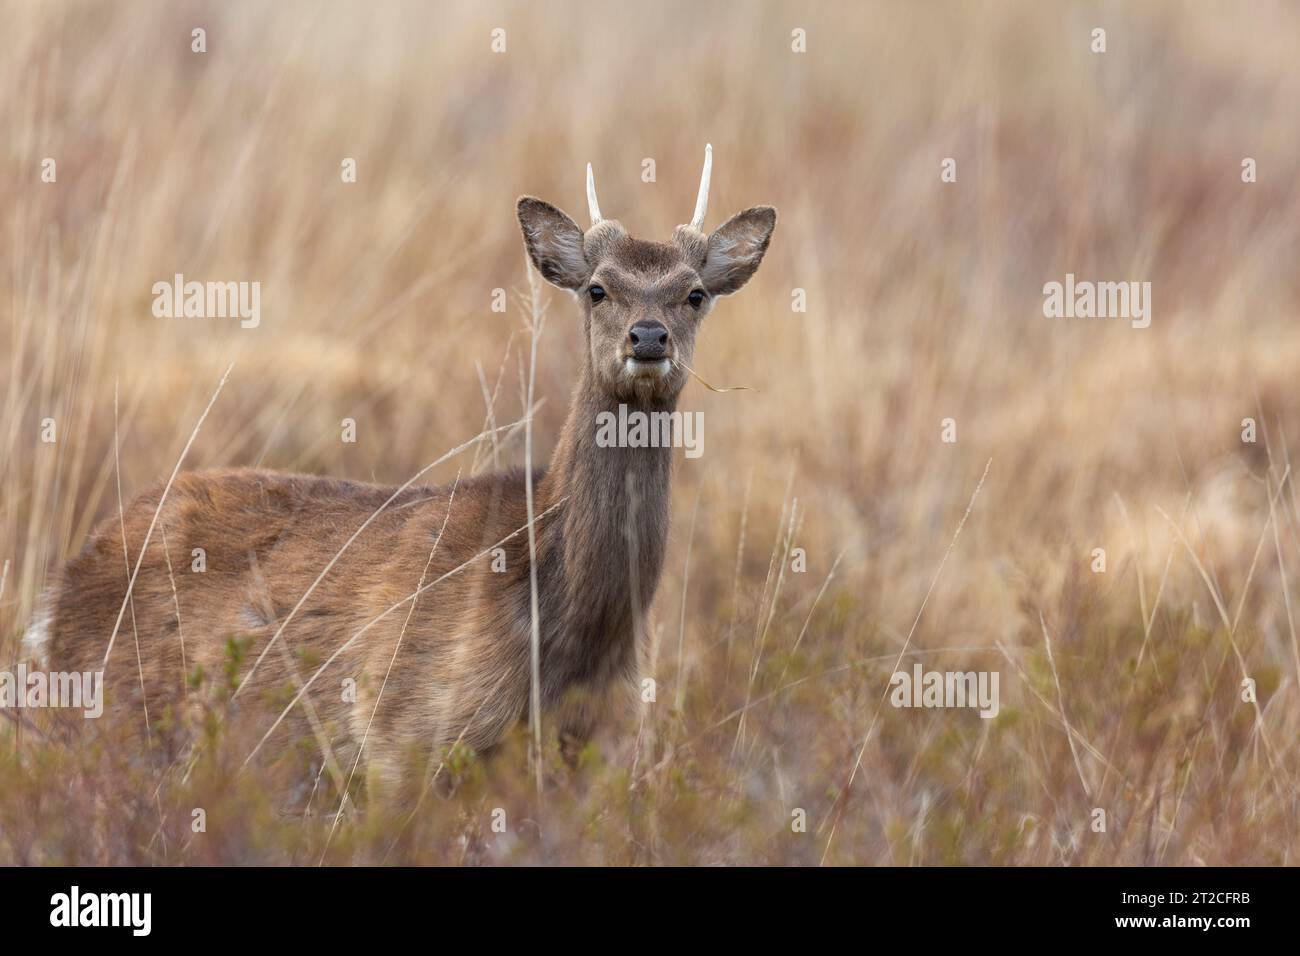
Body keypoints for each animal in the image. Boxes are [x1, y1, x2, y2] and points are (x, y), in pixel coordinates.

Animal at [22, 147, 769, 806]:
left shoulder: (596, 747)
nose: (648, 337)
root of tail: (52, 598)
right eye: (597, 288)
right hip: (105, 719)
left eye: (695, 294)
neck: (571, 639)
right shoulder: (400, 731)